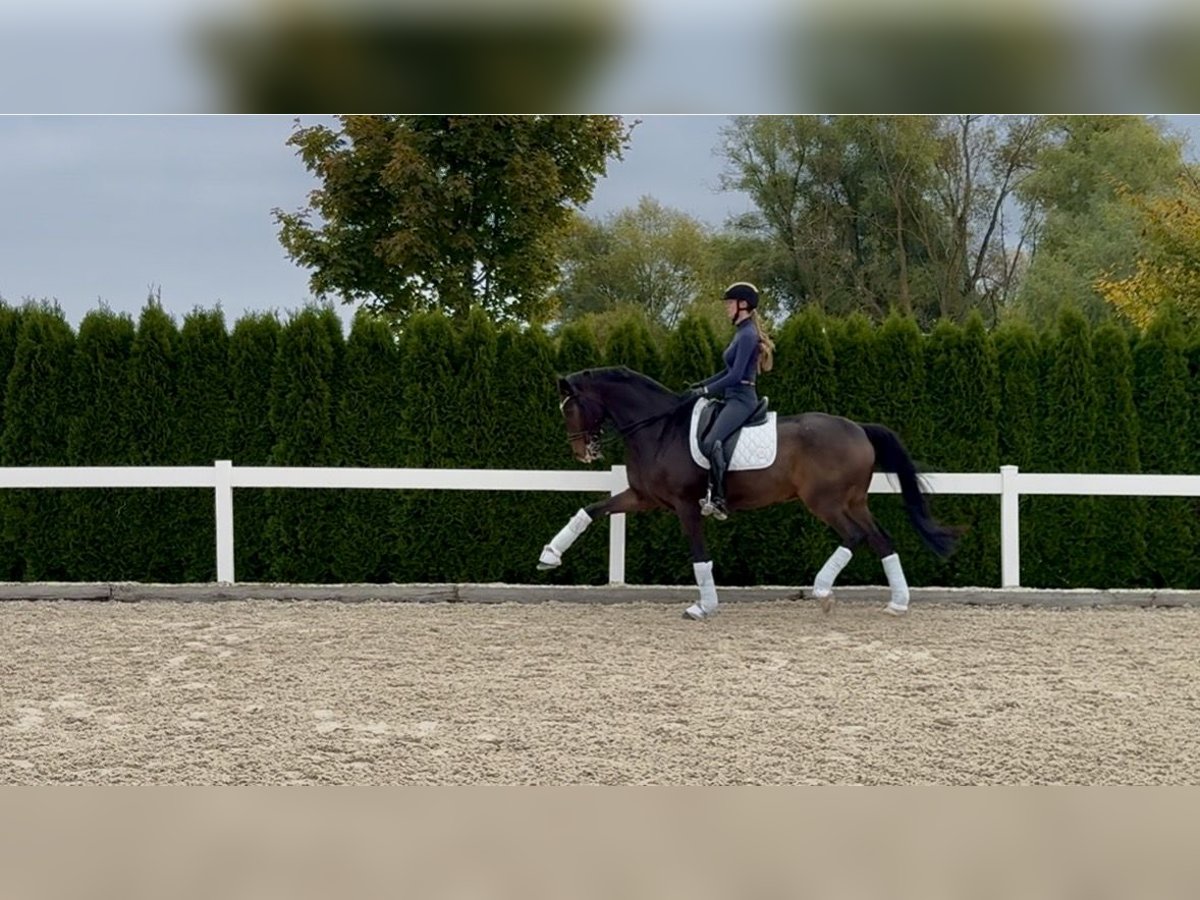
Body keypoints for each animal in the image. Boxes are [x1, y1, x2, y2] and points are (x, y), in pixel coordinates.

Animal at [537, 366, 958, 620]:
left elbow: (700, 556)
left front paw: (704, 606)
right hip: (853, 501)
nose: (582, 453)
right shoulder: (644, 497)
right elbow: (591, 509)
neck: (658, 429)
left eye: (570, 408)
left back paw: (822, 590)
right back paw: (897, 603)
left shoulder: (685, 505)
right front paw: (549, 555)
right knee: (880, 539)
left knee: (855, 536)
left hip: (826, 502)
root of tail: (858, 428)